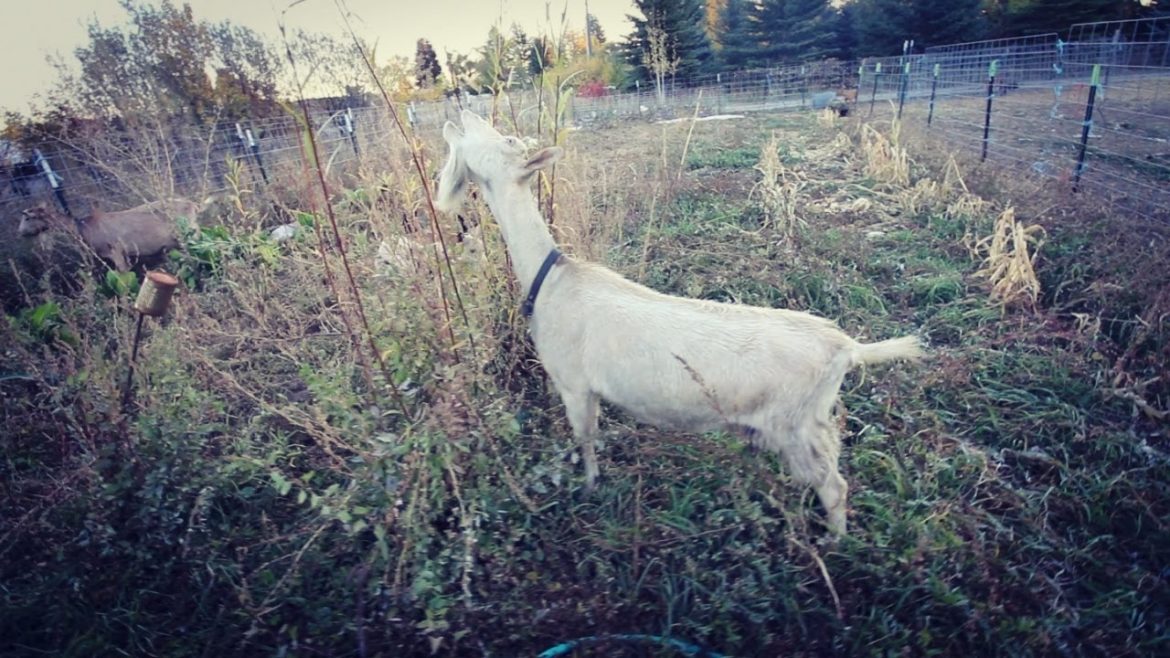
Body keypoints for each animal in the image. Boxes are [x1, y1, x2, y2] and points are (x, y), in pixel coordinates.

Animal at [18, 198, 200, 272]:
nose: (20, 232)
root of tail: (194, 205)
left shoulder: (116, 251)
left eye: (27, 217)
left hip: (189, 235)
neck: (82, 228)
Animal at [436, 110, 924, 534]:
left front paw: (591, 488)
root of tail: (846, 348)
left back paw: (834, 543)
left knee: (833, 485)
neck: (552, 278)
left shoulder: (574, 384)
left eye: (506, 141)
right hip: (811, 422)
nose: (462, 113)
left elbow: (586, 438)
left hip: (794, 423)